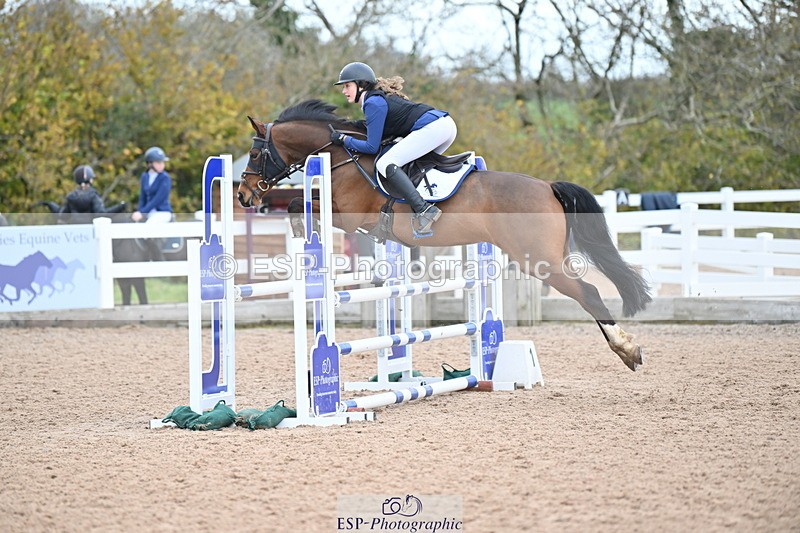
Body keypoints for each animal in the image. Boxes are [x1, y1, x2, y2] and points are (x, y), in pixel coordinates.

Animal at [237, 100, 652, 371]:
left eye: (255, 155)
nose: (243, 195)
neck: (341, 157)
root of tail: (548, 186)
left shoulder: (351, 216)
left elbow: (296, 204)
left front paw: (300, 228)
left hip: (540, 260)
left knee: (589, 292)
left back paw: (627, 350)